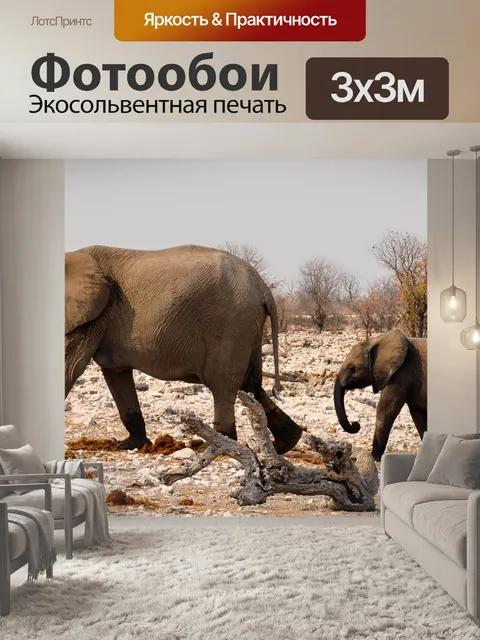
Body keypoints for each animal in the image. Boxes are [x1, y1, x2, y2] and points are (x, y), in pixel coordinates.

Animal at [65, 244, 303, 454]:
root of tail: (264, 289)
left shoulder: (93, 316)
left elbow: (72, 367)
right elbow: (116, 372)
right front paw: (131, 445)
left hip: (233, 327)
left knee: (224, 386)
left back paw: (221, 445)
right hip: (249, 329)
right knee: (251, 384)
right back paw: (288, 442)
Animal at [333, 329, 427, 462]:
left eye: (352, 368)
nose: (355, 424)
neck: (376, 340)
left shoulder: (401, 375)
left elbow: (387, 410)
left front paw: (374, 457)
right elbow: (418, 414)